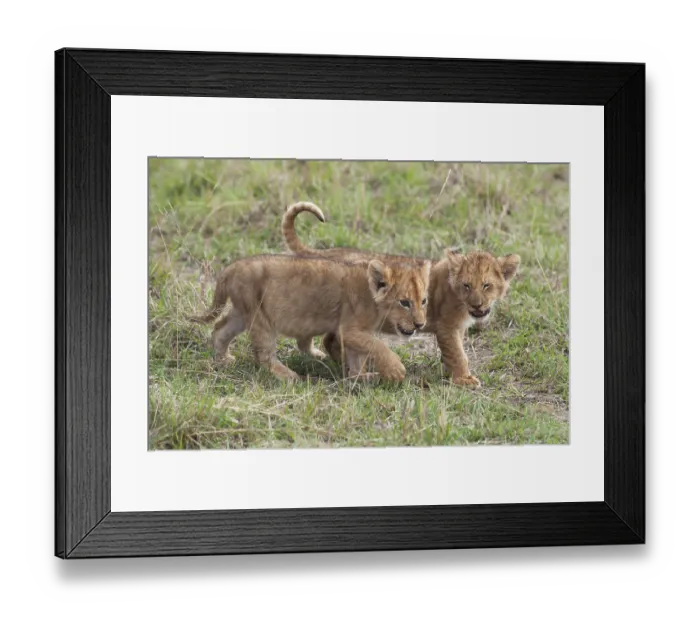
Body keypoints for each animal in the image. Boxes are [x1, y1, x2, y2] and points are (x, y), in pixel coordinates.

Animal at [189, 254, 430, 382]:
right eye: (404, 302)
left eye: (424, 301)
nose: (420, 324)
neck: (372, 297)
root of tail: (230, 268)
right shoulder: (349, 329)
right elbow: (377, 346)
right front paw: (395, 370)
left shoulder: (355, 333)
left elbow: (358, 357)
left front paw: (361, 377)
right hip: (259, 316)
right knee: (264, 356)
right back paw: (291, 377)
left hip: (242, 312)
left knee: (220, 329)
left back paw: (223, 360)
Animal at [282, 202, 520, 387]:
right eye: (467, 285)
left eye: (487, 285)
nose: (478, 305)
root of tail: (325, 252)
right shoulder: (447, 327)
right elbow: (457, 354)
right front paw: (464, 379)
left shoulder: (457, 328)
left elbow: (455, 352)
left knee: (330, 339)